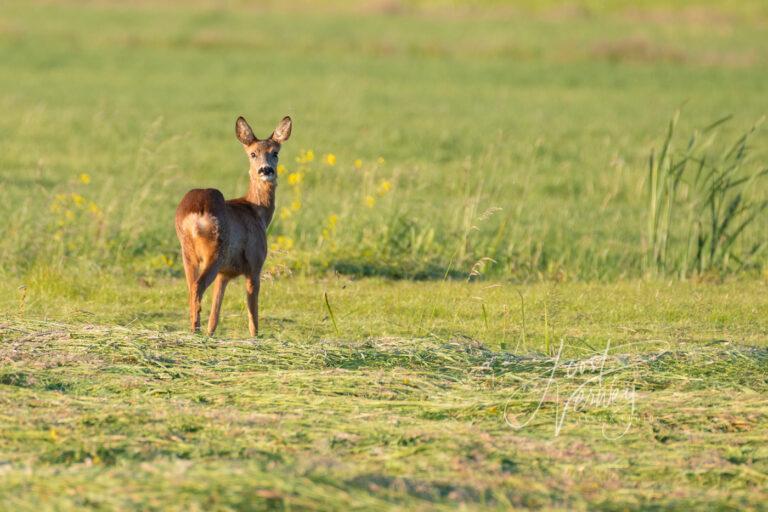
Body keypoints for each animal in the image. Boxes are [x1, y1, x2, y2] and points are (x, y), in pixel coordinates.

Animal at [176, 116, 292, 338]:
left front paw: (210, 334)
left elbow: (215, 315)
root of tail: (197, 211)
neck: (257, 211)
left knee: (190, 287)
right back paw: (195, 331)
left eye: (275, 153)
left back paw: (194, 330)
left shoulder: (225, 274)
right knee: (197, 286)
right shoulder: (255, 264)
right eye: (253, 154)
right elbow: (253, 315)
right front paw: (255, 337)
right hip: (216, 250)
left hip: (187, 252)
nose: (266, 170)